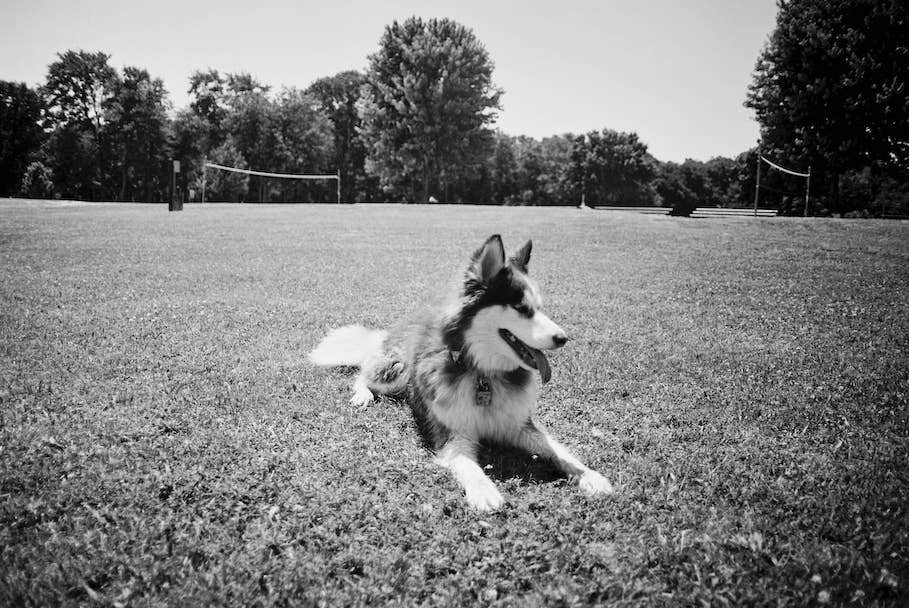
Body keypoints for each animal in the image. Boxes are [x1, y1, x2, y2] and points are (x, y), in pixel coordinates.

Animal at [308, 235, 612, 510]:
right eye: (521, 308)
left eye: (540, 308)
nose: (563, 338)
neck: (484, 375)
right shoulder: (453, 434)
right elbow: (469, 466)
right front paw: (484, 491)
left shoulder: (519, 424)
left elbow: (558, 451)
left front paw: (590, 476)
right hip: (396, 370)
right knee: (363, 373)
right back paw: (363, 395)